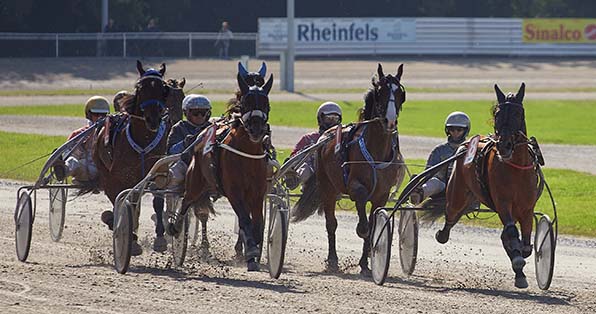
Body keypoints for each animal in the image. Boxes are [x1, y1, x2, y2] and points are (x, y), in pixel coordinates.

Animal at [168, 72, 274, 272]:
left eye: (266, 103)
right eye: (245, 103)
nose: (257, 129)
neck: (247, 154)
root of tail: (201, 136)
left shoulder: (256, 194)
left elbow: (257, 225)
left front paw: (254, 251)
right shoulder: (234, 192)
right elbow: (245, 221)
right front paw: (251, 253)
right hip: (195, 182)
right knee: (186, 202)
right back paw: (176, 228)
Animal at [292, 63, 408, 274]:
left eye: (400, 93)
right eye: (380, 92)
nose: (389, 121)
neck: (376, 151)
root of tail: (325, 136)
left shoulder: (381, 195)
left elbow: (373, 226)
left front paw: (365, 263)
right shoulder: (355, 187)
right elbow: (363, 223)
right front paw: (363, 239)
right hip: (327, 188)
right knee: (331, 224)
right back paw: (332, 260)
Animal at [434, 82, 540, 288]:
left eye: (518, 113)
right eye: (497, 113)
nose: (505, 145)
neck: (516, 170)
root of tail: (467, 143)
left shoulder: (526, 208)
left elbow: (525, 242)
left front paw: (521, 260)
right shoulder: (503, 202)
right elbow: (512, 232)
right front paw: (518, 261)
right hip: (457, 194)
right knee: (450, 216)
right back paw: (442, 234)